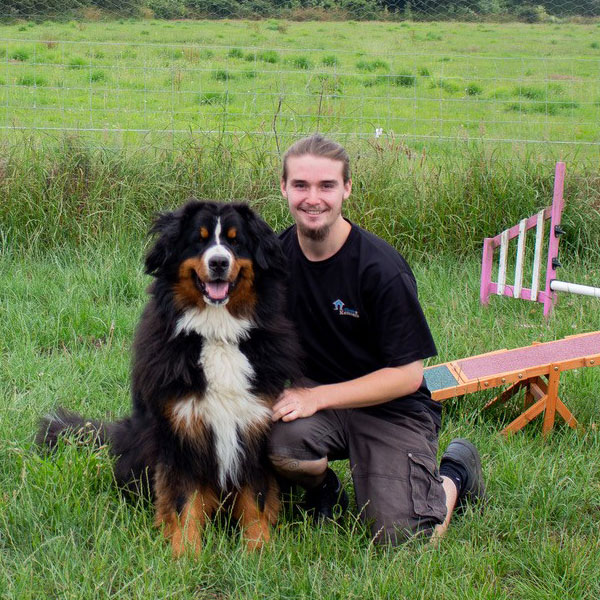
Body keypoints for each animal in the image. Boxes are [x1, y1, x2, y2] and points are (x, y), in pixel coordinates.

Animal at [37, 199, 300, 556]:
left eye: (236, 242)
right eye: (199, 241)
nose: (219, 262)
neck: (217, 334)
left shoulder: (253, 424)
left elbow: (256, 500)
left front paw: (259, 551)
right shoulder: (179, 430)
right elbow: (181, 501)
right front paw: (185, 555)